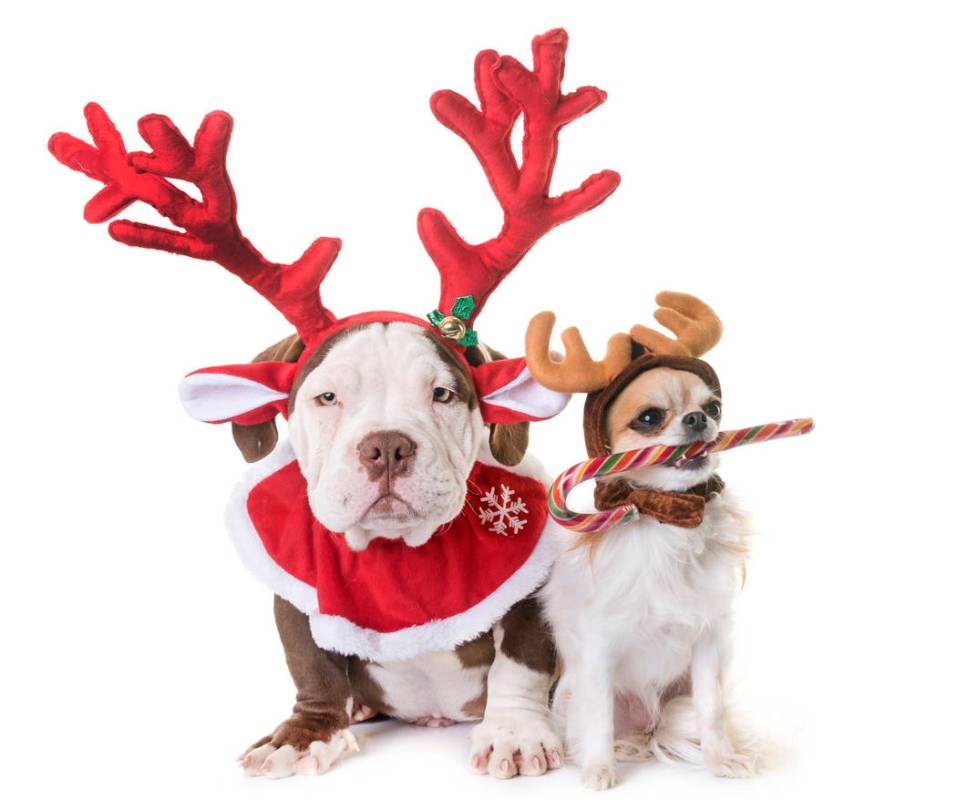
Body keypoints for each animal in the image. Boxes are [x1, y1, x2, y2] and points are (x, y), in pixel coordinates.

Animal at [532, 292, 756, 788]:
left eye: (714, 408)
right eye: (649, 418)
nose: (697, 419)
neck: (667, 522)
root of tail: (649, 724)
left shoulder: (708, 643)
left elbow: (712, 710)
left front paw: (721, 758)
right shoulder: (599, 651)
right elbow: (598, 718)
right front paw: (599, 769)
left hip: (677, 699)